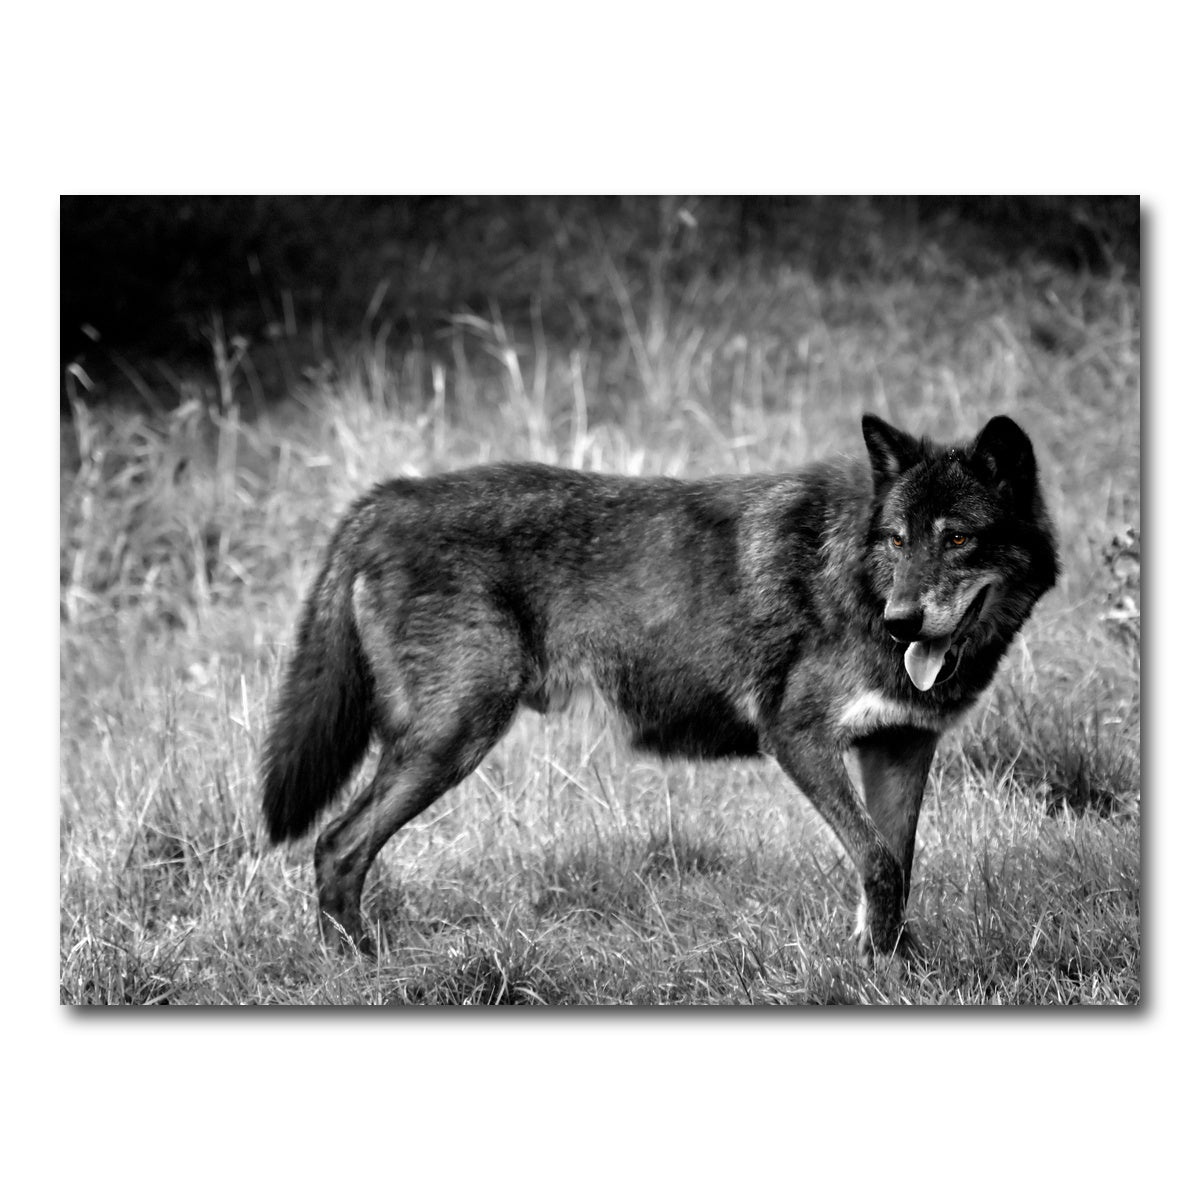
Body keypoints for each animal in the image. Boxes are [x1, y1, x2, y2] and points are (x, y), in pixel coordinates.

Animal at [262, 413, 1058, 960]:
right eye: (896, 539)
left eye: (957, 539)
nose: (902, 623)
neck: (855, 581)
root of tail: (384, 499)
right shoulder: (797, 737)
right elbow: (877, 862)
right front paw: (877, 970)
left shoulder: (899, 746)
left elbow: (896, 865)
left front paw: (891, 967)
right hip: (452, 740)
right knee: (336, 844)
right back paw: (359, 966)